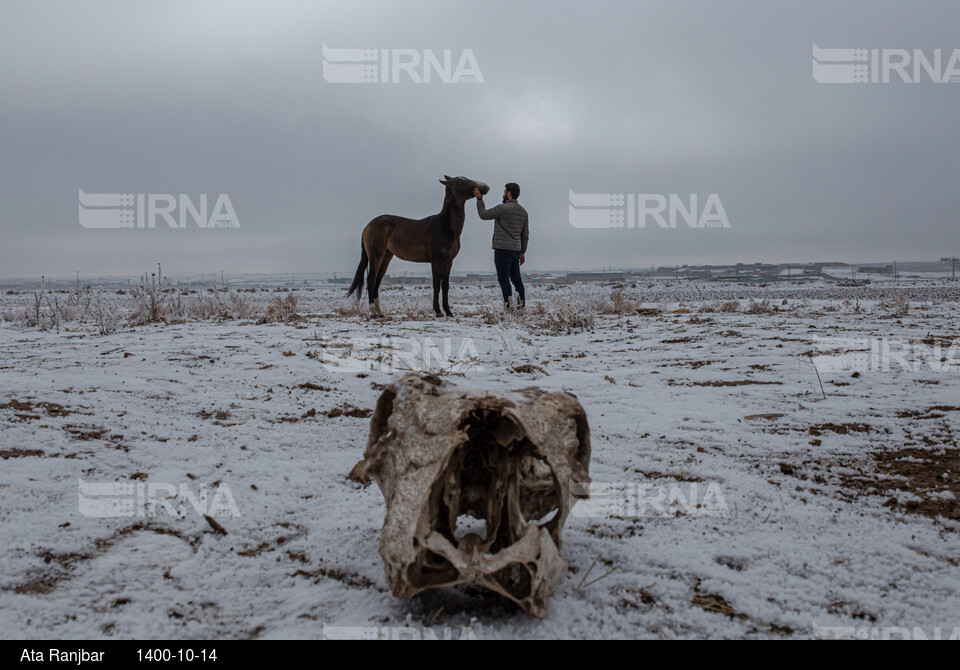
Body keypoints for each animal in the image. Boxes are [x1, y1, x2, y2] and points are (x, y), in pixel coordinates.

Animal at [348, 176, 492, 318]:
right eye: (460, 182)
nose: (485, 187)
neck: (445, 227)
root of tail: (367, 226)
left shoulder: (448, 262)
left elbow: (445, 286)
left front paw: (448, 311)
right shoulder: (436, 260)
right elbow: (436, 284)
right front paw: (438, 311)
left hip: (386, 256)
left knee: (377, 281)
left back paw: (380, 313)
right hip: (375, 255)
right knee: (371, 280)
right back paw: (373, 312)